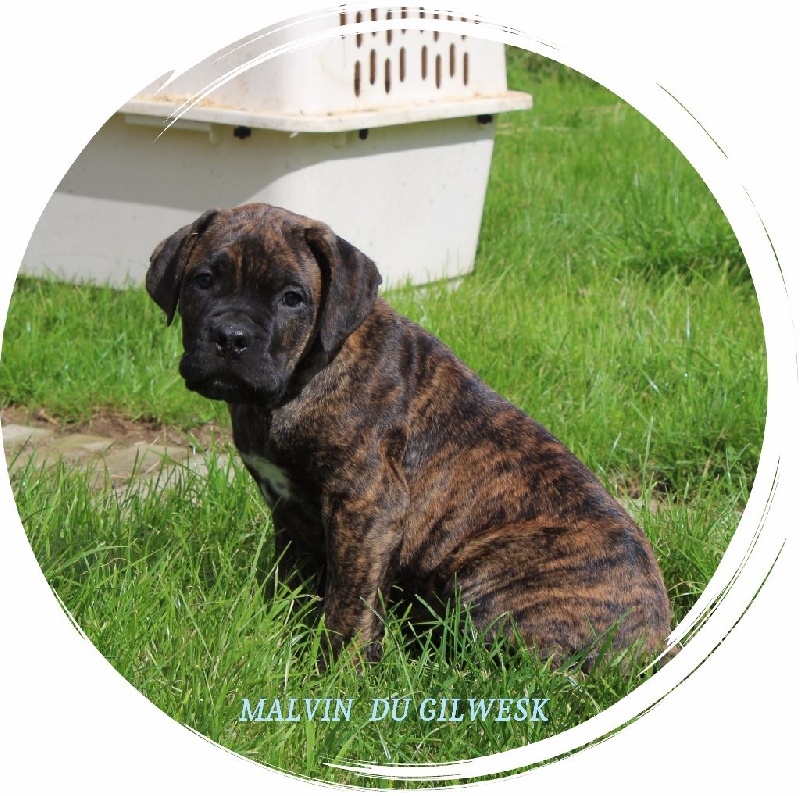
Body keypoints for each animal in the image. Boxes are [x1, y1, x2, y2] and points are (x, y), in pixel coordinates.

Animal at [147, 203, 673, 668]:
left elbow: (349, 604)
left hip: (487, 568)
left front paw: (336, 673)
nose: (231, 338)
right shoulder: (290, 513)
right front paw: (279, 630)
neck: (306, 375)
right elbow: (293, 583)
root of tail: (647, 647)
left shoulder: (367, 508)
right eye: (203, 281)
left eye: (292, 298)